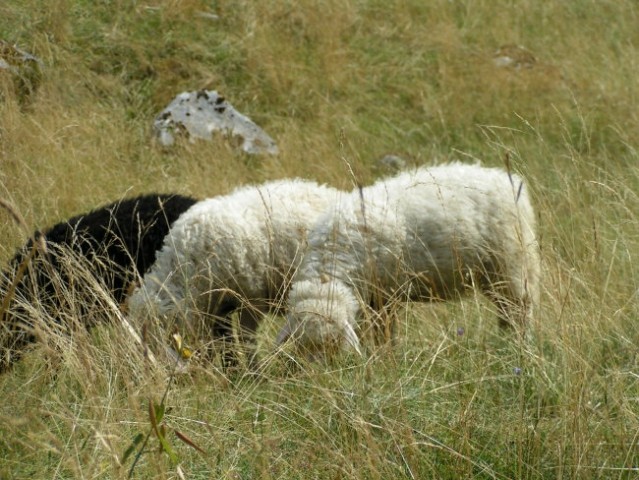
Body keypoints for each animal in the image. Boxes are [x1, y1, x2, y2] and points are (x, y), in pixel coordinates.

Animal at [127, 179, 342, 368]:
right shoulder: (219, 305)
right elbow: (223, 342)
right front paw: (232, 369)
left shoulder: (251, 297)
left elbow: (246, 337)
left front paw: (254, 372)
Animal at [278, 163, 544, 354]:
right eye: (301, 346)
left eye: (333, 343)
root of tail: (507, 179)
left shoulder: (385, 296)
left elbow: (384, 333)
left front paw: (385, 356)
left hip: (512, 264)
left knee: (520, 312)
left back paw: (518, 347)